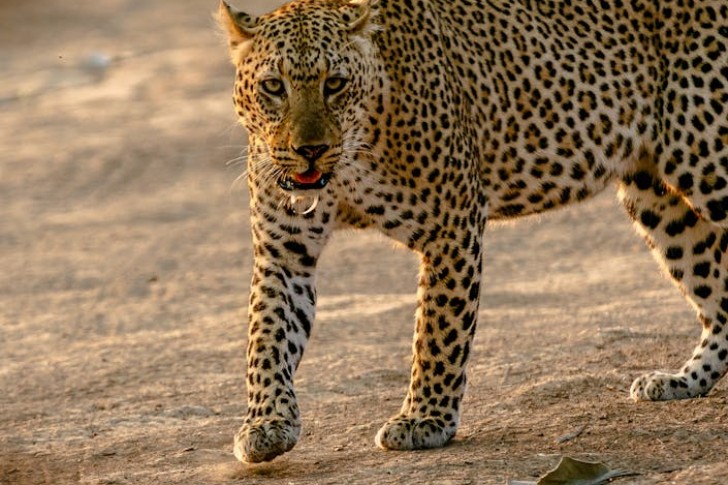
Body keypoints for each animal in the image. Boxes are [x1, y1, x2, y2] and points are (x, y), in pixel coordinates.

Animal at [218, 0, 728, 463]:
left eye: (335, 84)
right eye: (273, 86)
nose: (310, 150)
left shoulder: (451, 225)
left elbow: (438, 331)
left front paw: (424, 419)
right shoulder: (284, 252)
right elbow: (267, 338)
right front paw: (266, 423)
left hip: (708, 161)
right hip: (656, 195)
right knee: (718, 295)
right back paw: (681, 380)